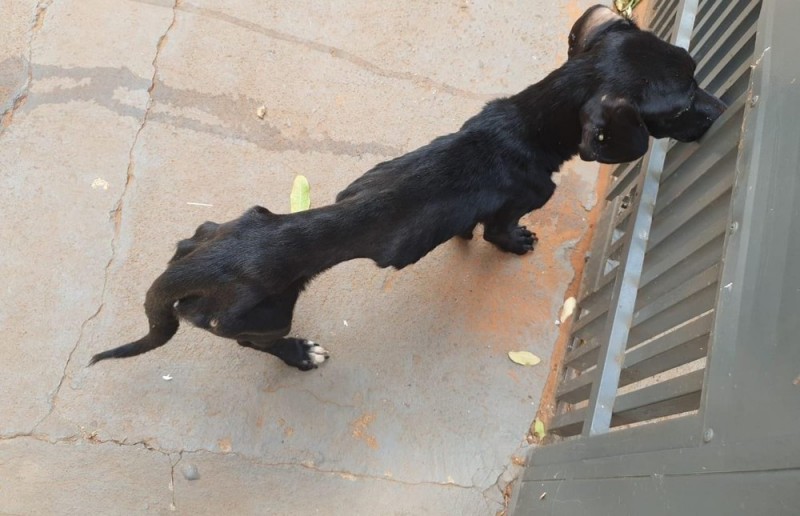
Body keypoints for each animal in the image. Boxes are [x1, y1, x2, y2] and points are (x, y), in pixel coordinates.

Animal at [89, 7, 724, 370]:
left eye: (694, 69)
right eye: (681, 103)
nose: (720, 111)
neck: (525, 124)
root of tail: (190, 269)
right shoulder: (510, 209)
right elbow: (497, 233)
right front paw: (516, 244)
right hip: (267, 313)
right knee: (255, 342)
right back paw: (299, 354)